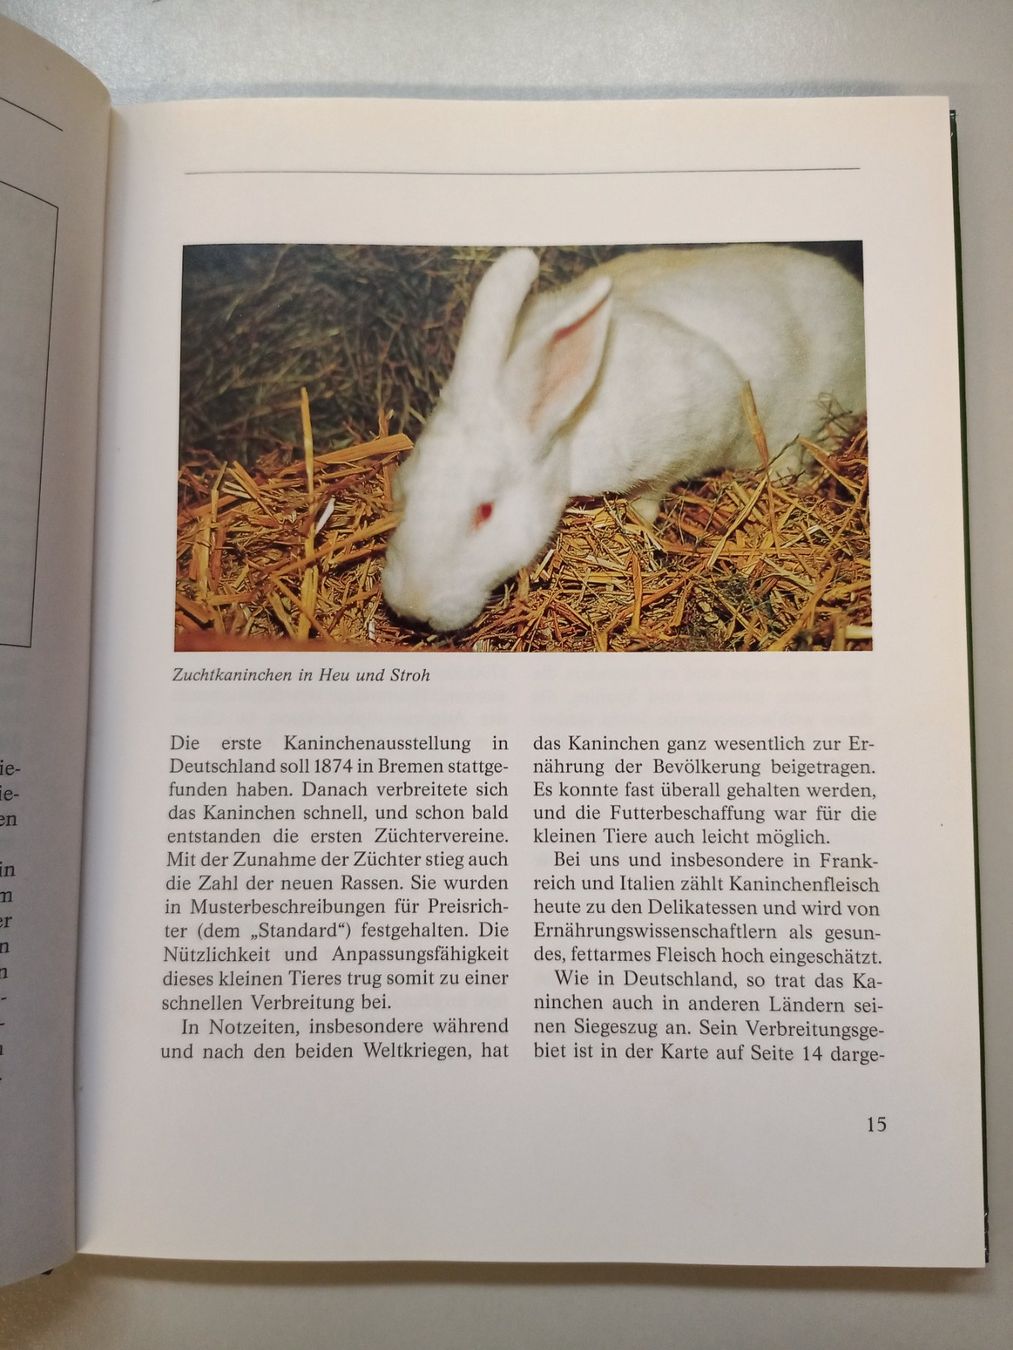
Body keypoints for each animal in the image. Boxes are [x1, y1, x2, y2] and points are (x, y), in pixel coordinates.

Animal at [382, 244, 866, 633]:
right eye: (403, 493)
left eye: (484, 511)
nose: (411, 608)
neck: (567, 430)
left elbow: (650, 494)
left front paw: (640, 523)